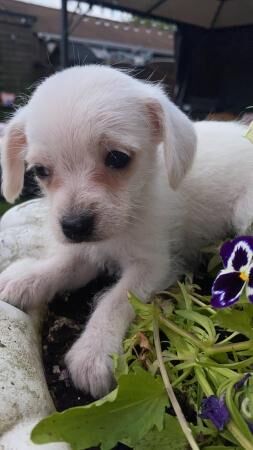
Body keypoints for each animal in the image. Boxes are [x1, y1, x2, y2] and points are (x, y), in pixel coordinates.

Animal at [0, 65, 253, 396]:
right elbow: (61, 265)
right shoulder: (87, 251)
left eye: (117, 158)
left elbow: (115, 299)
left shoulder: (153, 266)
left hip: (244, 213)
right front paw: (27, 278)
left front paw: (94, 351)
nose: (74, 226)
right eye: (41, 171)